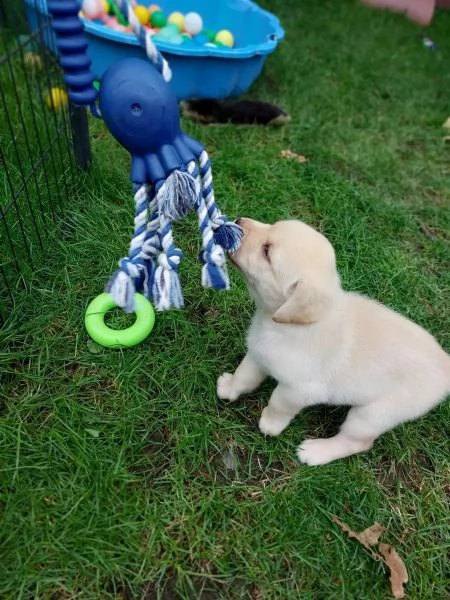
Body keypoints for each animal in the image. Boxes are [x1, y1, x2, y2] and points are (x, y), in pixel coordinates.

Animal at [216, 218, 448, 466]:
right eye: (272, 224)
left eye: (267, 252)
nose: (238, 221)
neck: (284, 325)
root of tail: (445, 360)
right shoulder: (258, 353)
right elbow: (244, 375)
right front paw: (229, 388)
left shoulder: (299, 390)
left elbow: (278, 404)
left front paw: (270, 424)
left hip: (374, 414)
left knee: (357, 442)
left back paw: (316, 452)